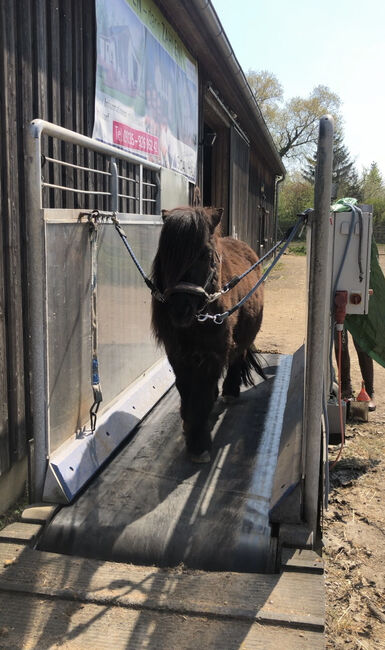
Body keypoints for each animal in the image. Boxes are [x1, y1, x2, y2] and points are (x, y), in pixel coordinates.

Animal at [152, 205, 262, 458]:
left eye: (206, 255)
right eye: (165, 254)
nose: (179, 311)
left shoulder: (213, 354)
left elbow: (201, 396)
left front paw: (198, 443)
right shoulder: (178, 354)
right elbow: (186, 389)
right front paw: (189, 424)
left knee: (238, 357)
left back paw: (230, 391)